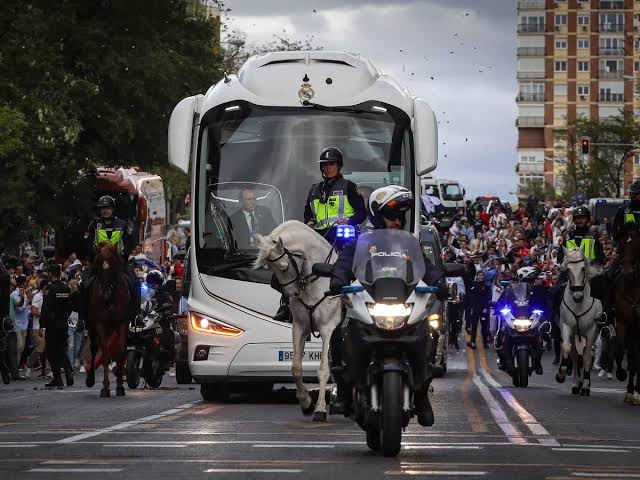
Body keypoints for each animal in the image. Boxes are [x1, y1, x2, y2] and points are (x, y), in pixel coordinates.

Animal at [86, 242, 130, 396]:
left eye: (112, 261)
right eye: (98, 262)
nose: (105, 292)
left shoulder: (122, 323)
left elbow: (121, 352)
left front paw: (120, 385)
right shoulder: (100, 324)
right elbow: (105, 354)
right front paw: (105, 387)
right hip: (92, 326)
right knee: (94, 348)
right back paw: (90, 378)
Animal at [255, 220, 344, 420]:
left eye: (284, 267)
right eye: (270, 269)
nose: (292, 295)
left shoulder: (328, 329)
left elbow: (323, 369)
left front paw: (320, 408)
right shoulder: (299, 327)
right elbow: (296, 368)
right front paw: (306, 402)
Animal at [556, 246, 604, 396]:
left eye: (583, 269)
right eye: (568, 270)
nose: (577, 296)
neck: (578, 305)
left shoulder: (590, 332)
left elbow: (588, 357)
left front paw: (586, 386)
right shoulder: (566, 327)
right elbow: (567, 348)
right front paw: (561, 374)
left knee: (586, 356)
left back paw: (584, 384)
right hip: (576, 335)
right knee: (577, 357)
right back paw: (576, 384)